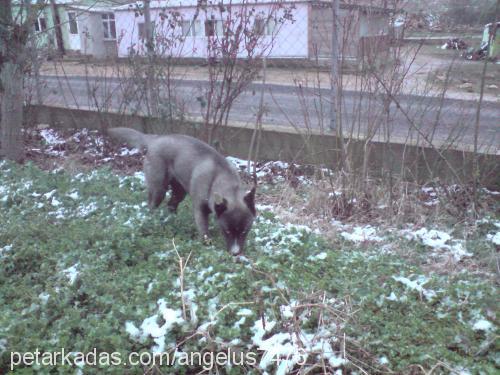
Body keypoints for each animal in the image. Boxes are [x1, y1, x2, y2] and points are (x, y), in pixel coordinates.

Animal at [107, 129, 256, 256]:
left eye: (244, 231)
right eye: (227, 231)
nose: (235, 253)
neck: (220, 177)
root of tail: (155, 139)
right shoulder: (200, 211)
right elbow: (204, 232)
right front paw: (208, 246)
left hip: (179, 192)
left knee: (171, 205)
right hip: (158, 190)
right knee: (151, 205)